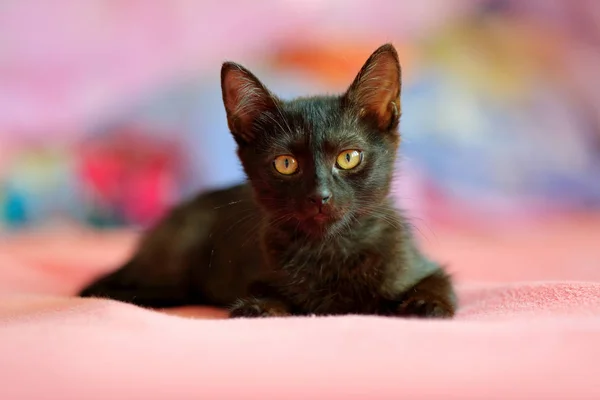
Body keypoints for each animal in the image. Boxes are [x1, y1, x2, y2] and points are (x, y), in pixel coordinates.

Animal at [78, 43, 454, 318]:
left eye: (348, 158)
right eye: (285, 164)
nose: (320, 195)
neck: (330, 249)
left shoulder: (422, 265)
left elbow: (438, 284)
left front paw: (425, 305)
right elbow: (265, 295)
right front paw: (261, 307)